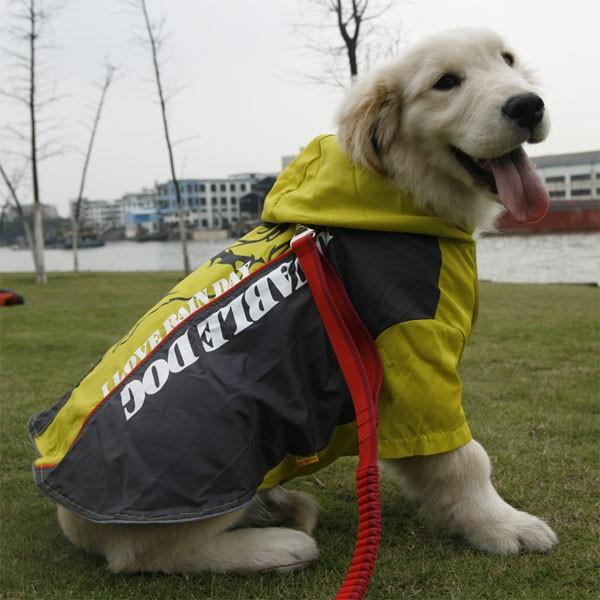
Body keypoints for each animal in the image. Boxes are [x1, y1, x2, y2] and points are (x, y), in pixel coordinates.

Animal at [54, 28, 556, 572]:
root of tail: (68, 511)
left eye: (507, 60)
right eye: (445, 82)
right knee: (144, 553)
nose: (528, 104)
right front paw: (503, 525)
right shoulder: (413, 355)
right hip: (224, 435)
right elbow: (464, 459)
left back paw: (277, 507)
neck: (401, 194)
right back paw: (274, 544)